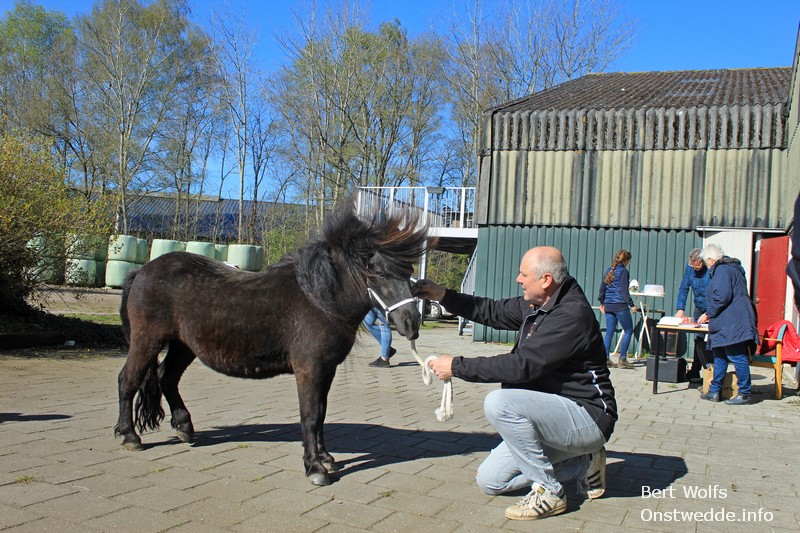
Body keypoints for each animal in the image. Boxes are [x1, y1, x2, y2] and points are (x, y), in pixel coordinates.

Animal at [114, 205, 430, 486]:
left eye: (408, 271)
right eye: (377, 272)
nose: (411, 322)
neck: (318, 300)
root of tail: (142, 272)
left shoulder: (326, 370)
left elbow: (322, 412)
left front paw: (326, 457)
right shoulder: (310, 369)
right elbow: (310, 414)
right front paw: (315, 468)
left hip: (183, 346)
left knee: (166, 377)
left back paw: (183, 427)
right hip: (147, 341)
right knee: (128, 380)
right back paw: (130, 436)